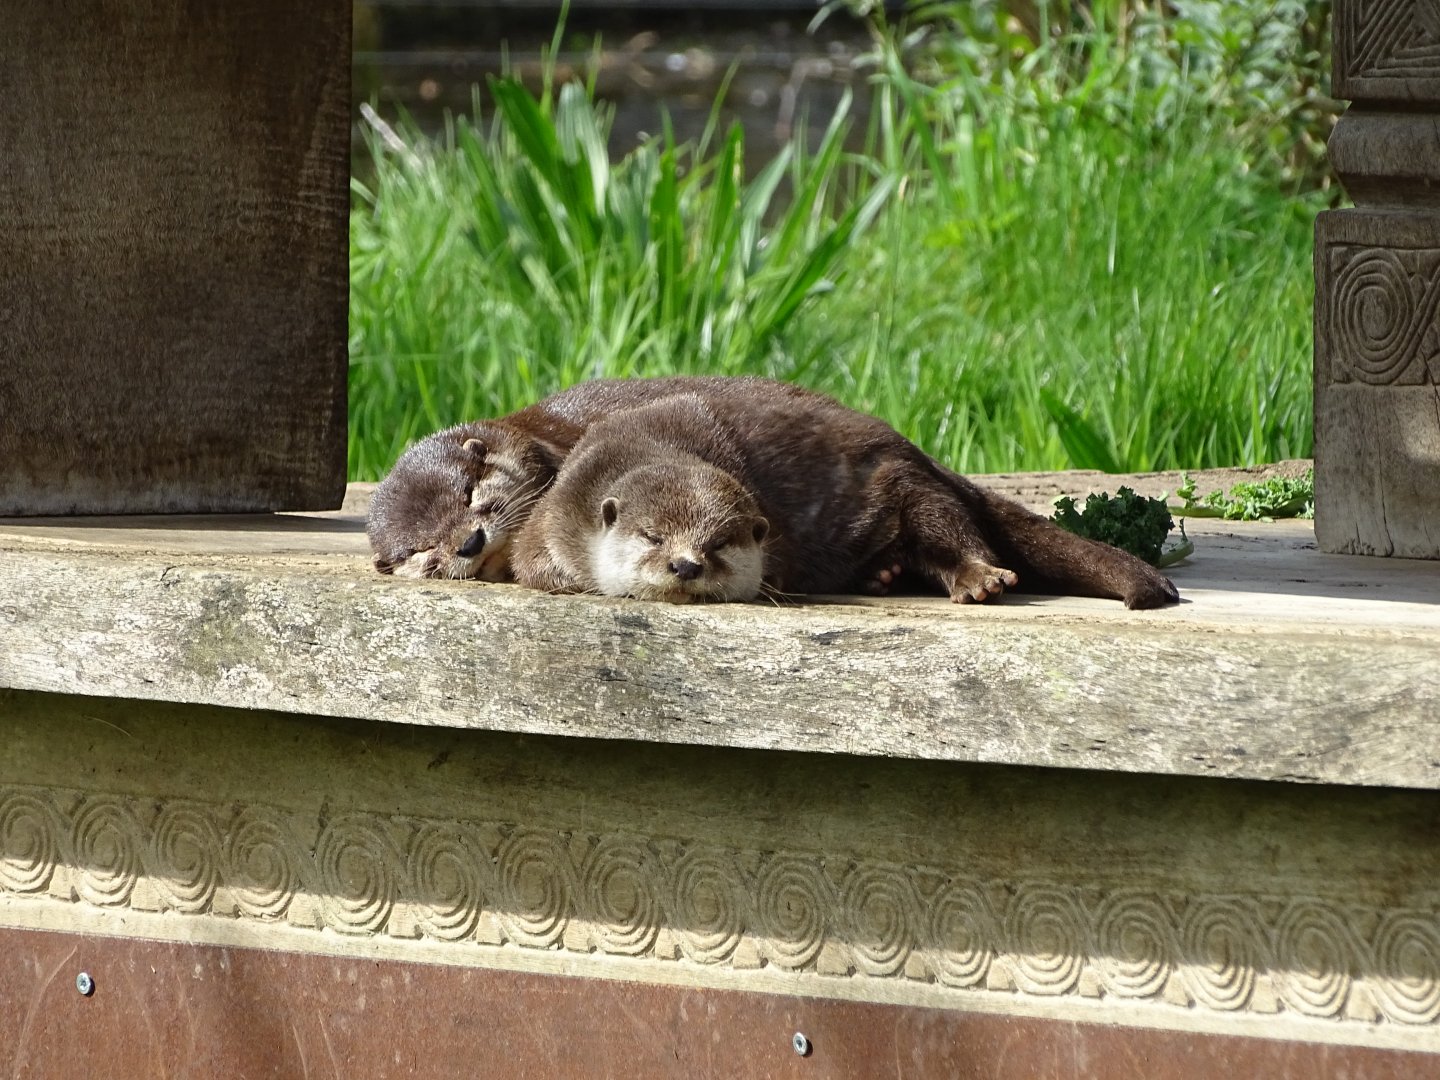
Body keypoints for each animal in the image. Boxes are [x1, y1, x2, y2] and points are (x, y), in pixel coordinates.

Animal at [368, 376, 1178, 609]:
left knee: (951, 525)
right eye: (421, 552)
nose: (469, 543)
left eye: (474, 494)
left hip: (906, 484)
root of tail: (920, 451)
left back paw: (976, 577)